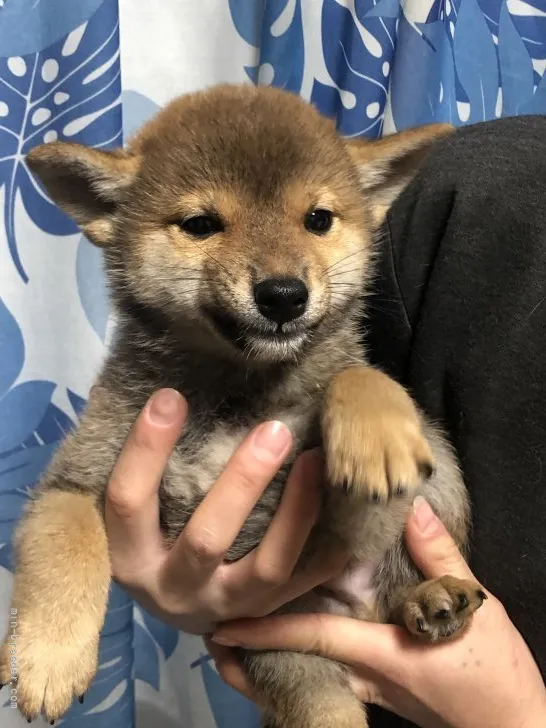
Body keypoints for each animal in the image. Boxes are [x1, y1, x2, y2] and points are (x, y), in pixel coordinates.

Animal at [1, 86, 484, 728]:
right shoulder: (76, 478)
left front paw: (376, 438)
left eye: (317, 220)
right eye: (201, 225)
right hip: (292, 663)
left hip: (441, 484)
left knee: (397, 588)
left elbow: (352, 374)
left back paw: (431, 596)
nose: (283, 294)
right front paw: (50, 656)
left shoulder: (342, 525)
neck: (235, 389)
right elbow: (67, 545)